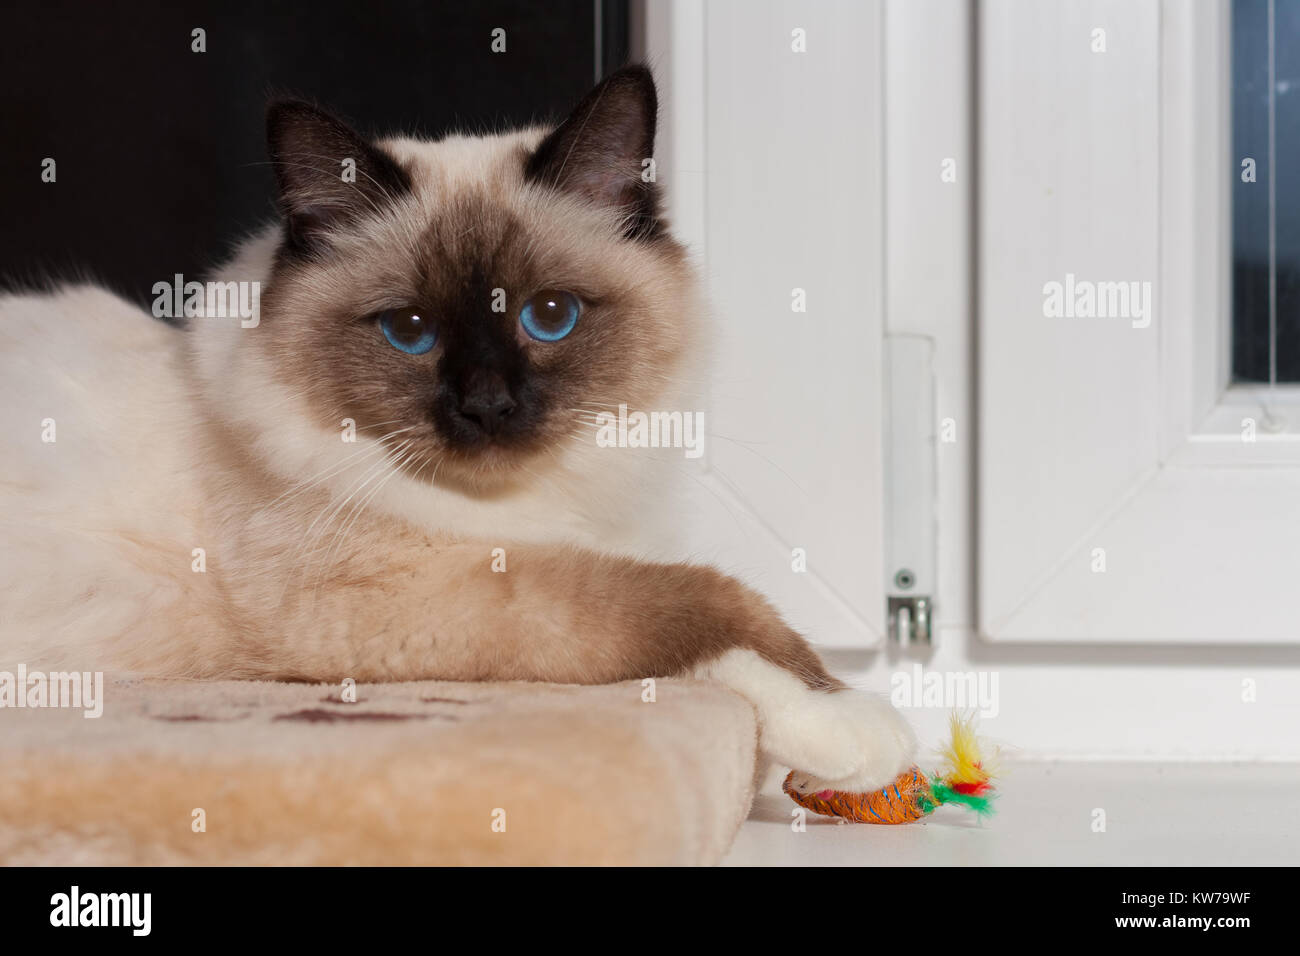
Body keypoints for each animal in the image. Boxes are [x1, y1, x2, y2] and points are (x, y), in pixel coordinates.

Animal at [0, 65, 915, 790]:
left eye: (550, 316)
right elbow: (697, 601)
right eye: (410, 330)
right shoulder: (409, 603)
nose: (487, 406)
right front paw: (856, 728)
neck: (536, 506)